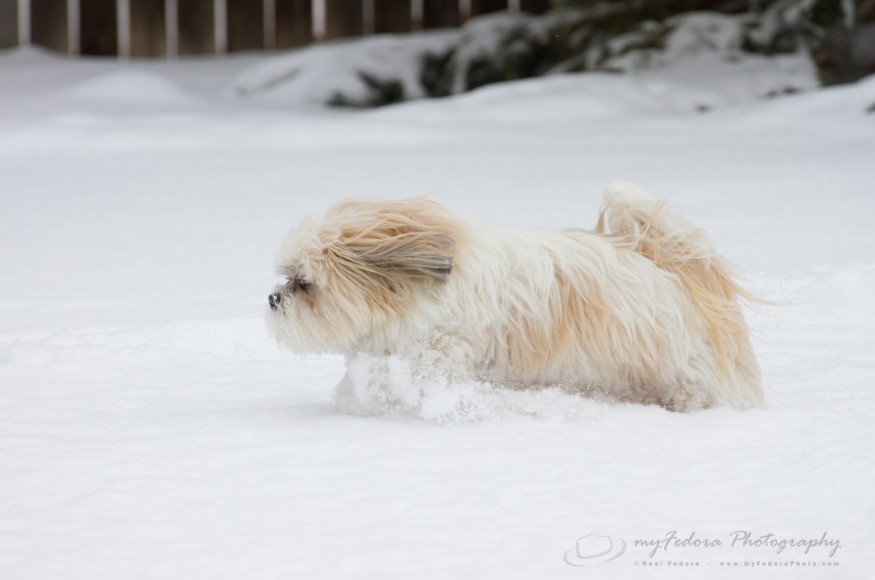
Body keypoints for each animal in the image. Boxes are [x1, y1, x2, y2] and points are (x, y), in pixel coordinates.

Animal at [264, 184, 764, 410]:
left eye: (303, 282)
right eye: (286, 278)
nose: (273, 299)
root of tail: (671, 269)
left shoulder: (439, 355)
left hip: (682, 375)